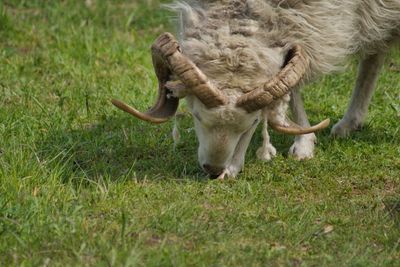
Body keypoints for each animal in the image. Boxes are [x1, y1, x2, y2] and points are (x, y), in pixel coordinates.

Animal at [111, 1, 400, 180]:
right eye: (195, 115)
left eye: (250, 125)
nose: (213, 170)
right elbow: (292, 91)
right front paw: (305, 141)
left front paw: (301, 145)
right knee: (375, 52)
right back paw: (350, 122)